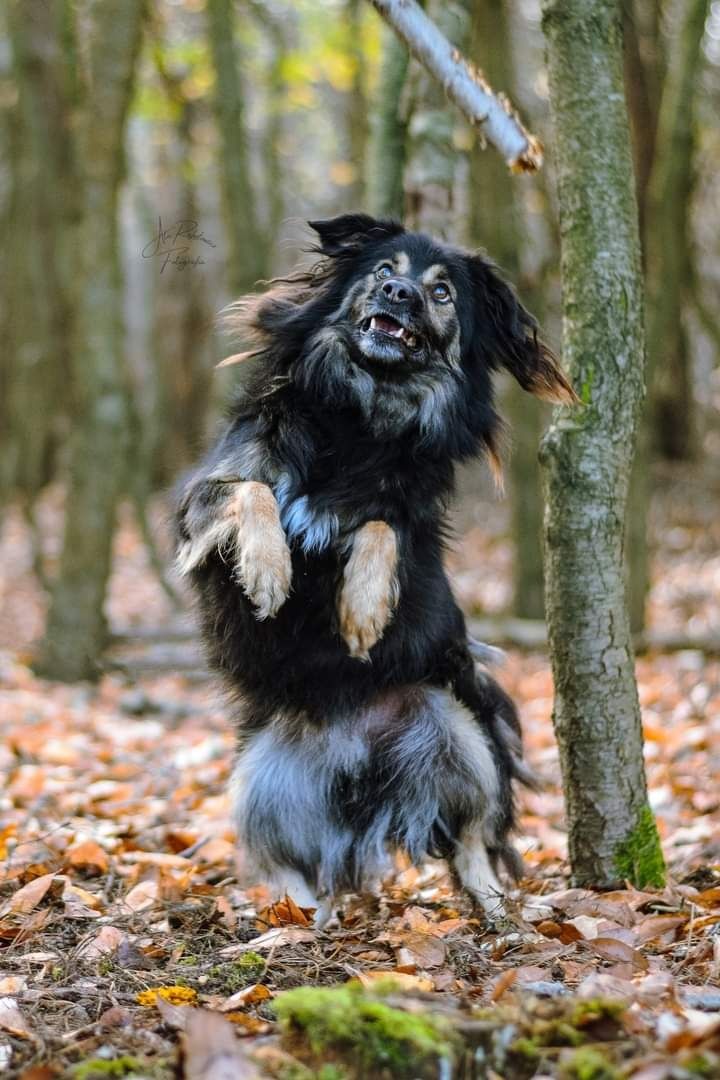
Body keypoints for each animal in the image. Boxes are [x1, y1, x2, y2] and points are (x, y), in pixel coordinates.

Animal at [174, 214, 574, 924]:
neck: (360, 418)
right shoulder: (201, 502)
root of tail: (360, 757)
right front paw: (270, 572)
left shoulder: (413, 533)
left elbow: (383, 528)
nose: (399, 295)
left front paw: (361, 612)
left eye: (441, 293)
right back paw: (297, 919)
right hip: (258, 780)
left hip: (464, 728)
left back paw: (496, 910)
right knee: (284, 863)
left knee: (473, 838)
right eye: (384, 271)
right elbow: (255, 493)